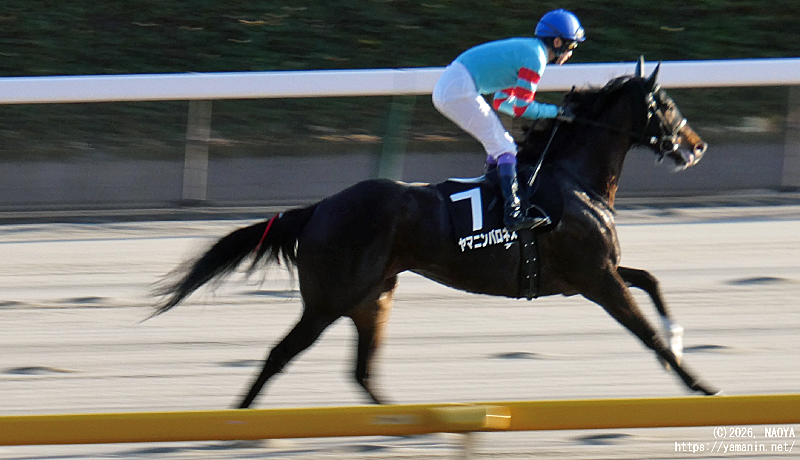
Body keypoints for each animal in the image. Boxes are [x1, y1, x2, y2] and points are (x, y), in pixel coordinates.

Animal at [153, 58, 716, 408]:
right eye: (666, 106)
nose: (697, 146)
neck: (571, 179)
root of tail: (317, 210)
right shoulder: (595, 277)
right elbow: (645, 330)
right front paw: (700, 383)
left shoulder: (593, 272)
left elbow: (651, 281)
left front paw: (679, 337)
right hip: (328, 301)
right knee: (279, 355)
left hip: (372, 298)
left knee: (361, 372)